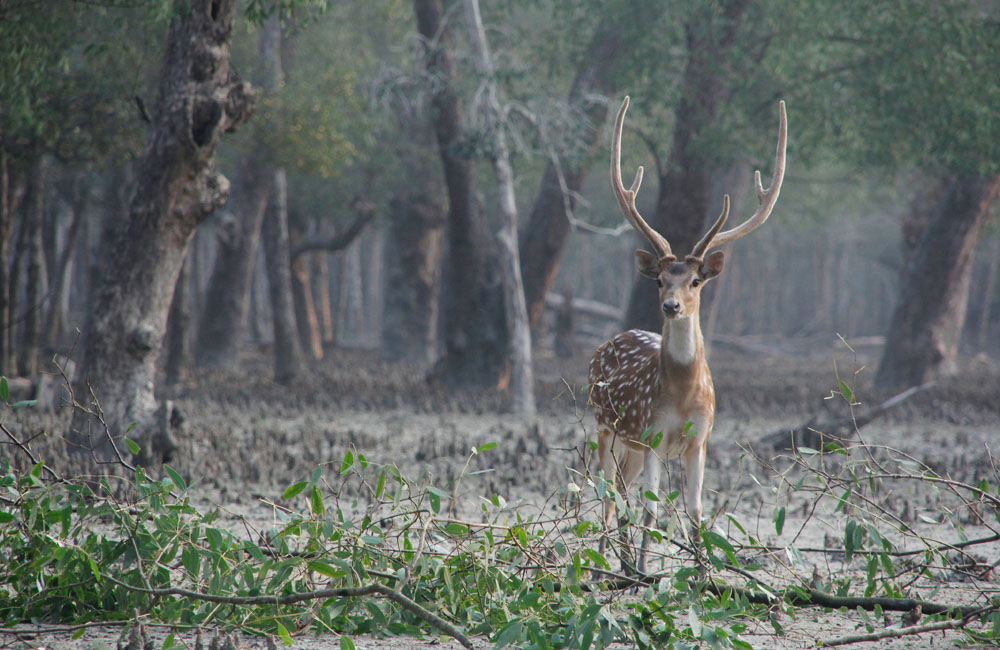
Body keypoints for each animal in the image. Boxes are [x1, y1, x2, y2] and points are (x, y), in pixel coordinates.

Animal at [584, 95, 788, 568]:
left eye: (695, 281)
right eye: (659, 280)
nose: (671, 305)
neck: (681, 394)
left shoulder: (700, 440)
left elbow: (695, 510)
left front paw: (701, 572)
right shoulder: (654, 434)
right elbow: (652, 509)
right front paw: (647, 572)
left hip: (629, 444)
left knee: (621, 491)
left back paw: (621, 562)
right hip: (604, 427)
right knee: (607, 494)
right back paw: (606, 565)